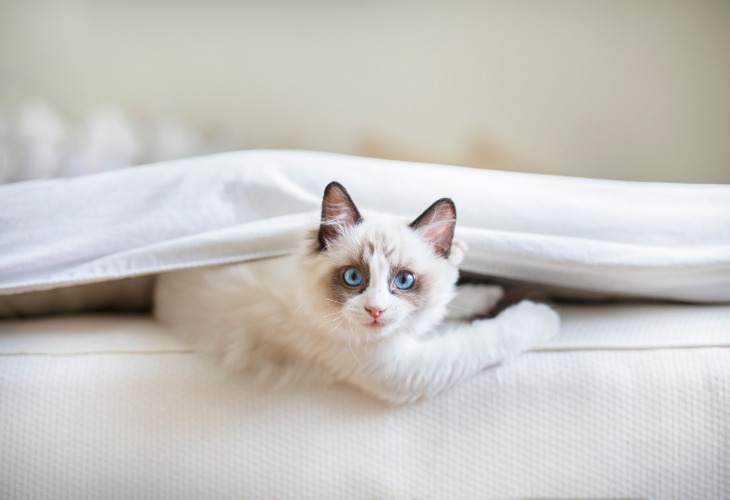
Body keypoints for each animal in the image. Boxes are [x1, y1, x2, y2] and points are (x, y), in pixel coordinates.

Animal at [155, 182, 556, 404]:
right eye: (352, 277)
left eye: (404, 281)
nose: (376, 310)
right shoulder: (406, 370)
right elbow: (490, 337)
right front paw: (543, 311)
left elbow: (456, 303)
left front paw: (492, 292)